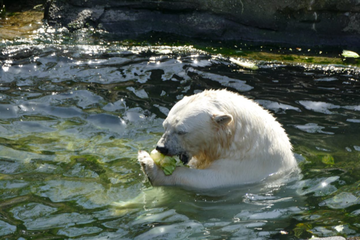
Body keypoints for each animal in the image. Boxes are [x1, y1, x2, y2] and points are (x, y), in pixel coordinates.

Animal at [137, 89, 296, 188]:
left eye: (181, 131)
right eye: (165, 126)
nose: (161, 147)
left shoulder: (246, 168)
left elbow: (206, 180)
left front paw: (148, 163)